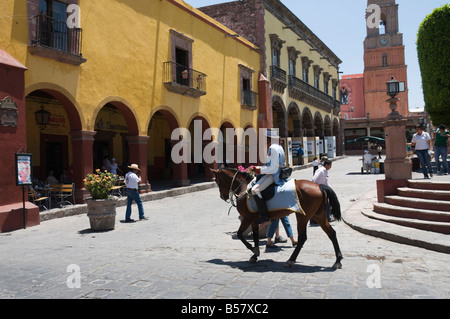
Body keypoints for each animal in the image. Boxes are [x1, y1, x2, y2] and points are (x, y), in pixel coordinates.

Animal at [213, 168, 342, 270]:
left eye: (218, 181)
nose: (222, 196)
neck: (244, 188)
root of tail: (319, 186)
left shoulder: (247, 218)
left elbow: (240, 234)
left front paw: (253, 250)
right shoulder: (254, 220)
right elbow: (255, 236)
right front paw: (255, 255)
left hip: (302, 216)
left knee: (302, 238)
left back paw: (290, 260)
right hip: (318, 215)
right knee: (331, 233)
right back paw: (337, 261)